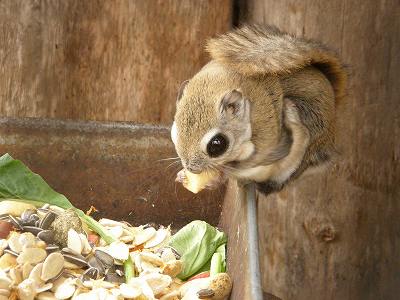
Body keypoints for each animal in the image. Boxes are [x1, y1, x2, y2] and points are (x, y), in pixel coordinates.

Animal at [170, 25, 346, 195]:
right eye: (175, 132)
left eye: (217, 144)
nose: (191, 168)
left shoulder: (265, 140)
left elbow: (236, 168)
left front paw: (218, 177)